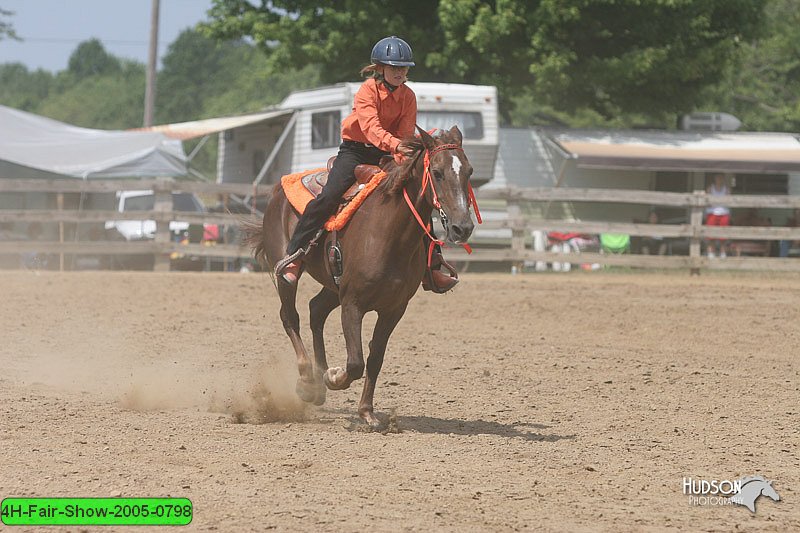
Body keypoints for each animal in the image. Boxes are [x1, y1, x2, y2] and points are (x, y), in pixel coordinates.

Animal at [247, 125, 478, 428]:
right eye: (437, 172)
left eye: (469, 172)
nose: (463, 227)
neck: (390, 235)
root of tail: (278, 190)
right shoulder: (352, 303)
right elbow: (356, 361)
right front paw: (334, 377)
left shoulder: (394, 309)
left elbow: (375, 358)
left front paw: (367, 412)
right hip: (289, 276)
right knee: (290, 317)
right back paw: (308, 381)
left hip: (333, 286)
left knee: (316, 310)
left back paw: (318, 385)